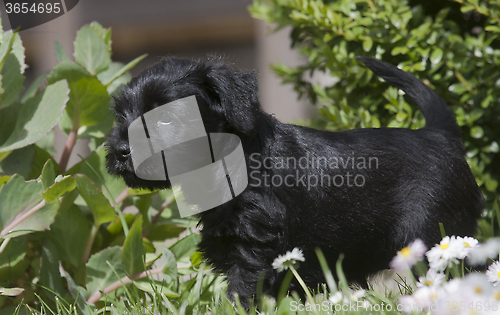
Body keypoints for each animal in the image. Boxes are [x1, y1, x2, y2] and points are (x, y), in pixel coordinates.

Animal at [105, 56, 484, 304]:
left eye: (166, 119)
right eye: (121, 114)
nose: (121, 150)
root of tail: (439, 135)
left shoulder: (255, 247)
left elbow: (242, 291)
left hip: (435, 236)